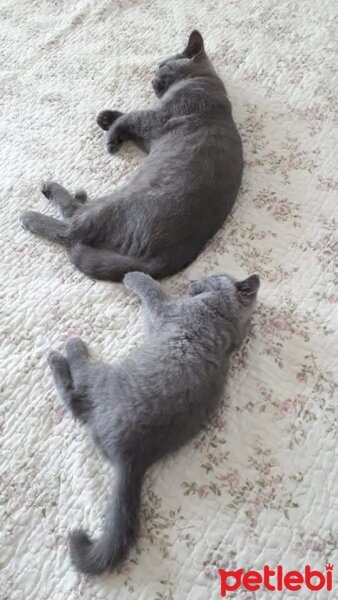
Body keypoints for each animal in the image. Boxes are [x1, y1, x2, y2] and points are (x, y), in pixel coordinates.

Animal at [19, 32, 243, 284]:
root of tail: (159, 262)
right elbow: (126, 119)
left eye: (162, 66)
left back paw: (35, 208)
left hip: (113, 205)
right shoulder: (150, 137)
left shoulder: (157, 118)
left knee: (71, 225)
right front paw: (106, 118)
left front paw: (110, 136)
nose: (152, 77)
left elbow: (130, 117)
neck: (201, 80)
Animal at [46, 270, 258, 572]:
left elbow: (152, 290)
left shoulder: (166, 310)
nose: (193, 280)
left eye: (212, 275)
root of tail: (131, 457)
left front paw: (134, 275)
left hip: (103, 378)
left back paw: (65, 350)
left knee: (76, 391)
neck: (223, 315)